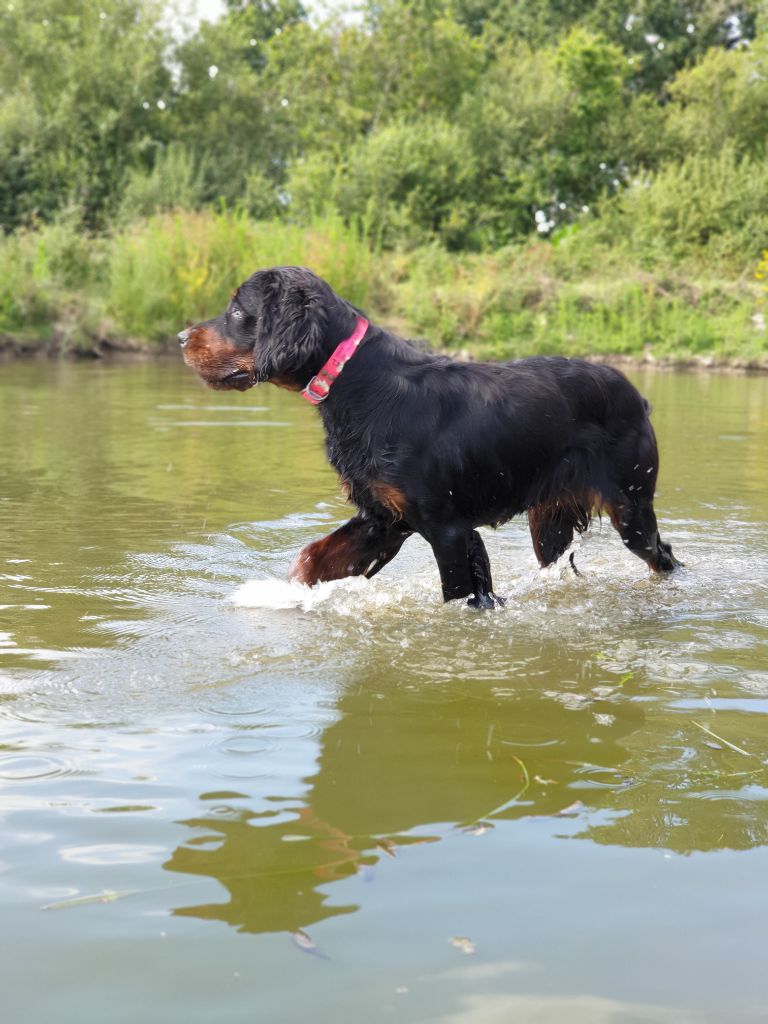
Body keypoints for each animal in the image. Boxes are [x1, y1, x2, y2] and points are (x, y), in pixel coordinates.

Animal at [179, 264, 679, 606]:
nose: (182, 337)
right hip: (549, 520)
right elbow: (311, 558)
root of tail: (637, 395)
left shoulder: (447, 529)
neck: (359, 381)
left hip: (630, 505)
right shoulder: (384, 518)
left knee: (663, 555)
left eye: (238, 310)